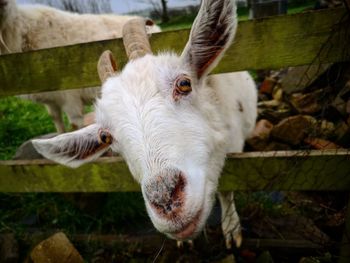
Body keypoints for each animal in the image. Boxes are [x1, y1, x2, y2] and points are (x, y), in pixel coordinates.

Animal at [32, 0, 258, 250]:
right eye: (105, 137)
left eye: (184, 84)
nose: (165, 200)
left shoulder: (234, 143)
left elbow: (227, 191)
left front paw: (231, 229)